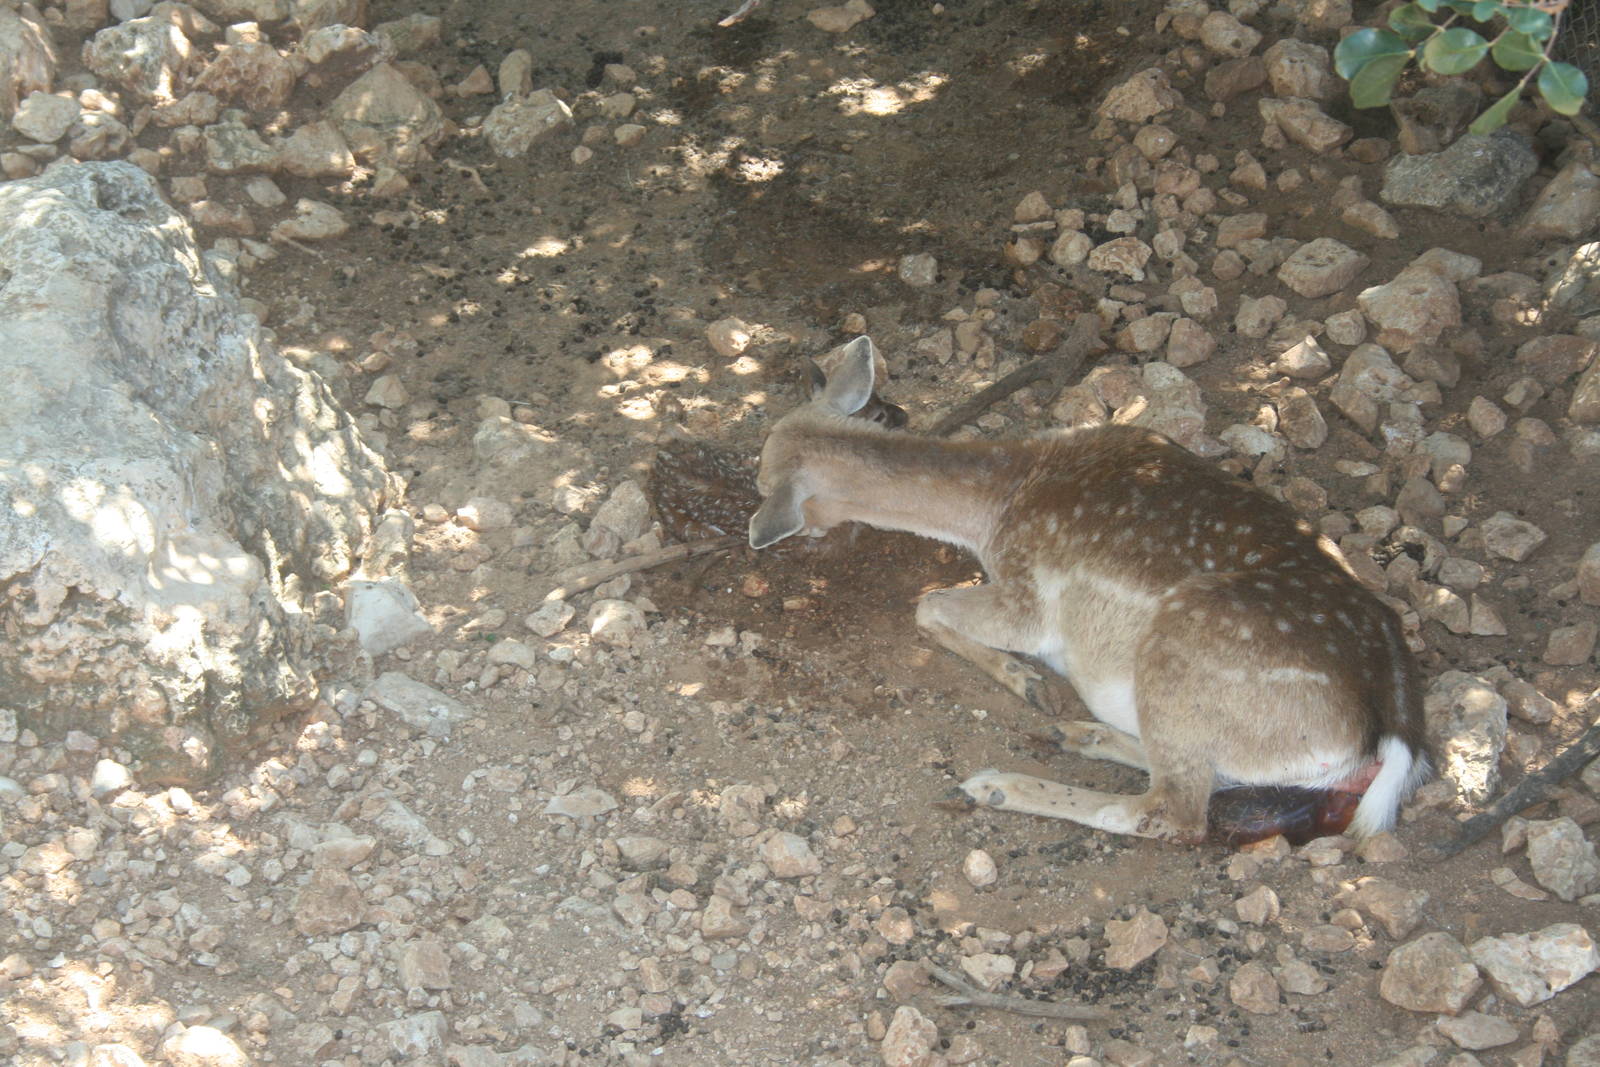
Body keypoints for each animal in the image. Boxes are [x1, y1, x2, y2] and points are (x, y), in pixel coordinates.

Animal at [747, 336, 1431, 844]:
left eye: (762, 482)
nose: (762, 522)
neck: (995, 509)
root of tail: (1393, 728)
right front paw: (1032, 687)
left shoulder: (1025, 597)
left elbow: (928, 603)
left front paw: (1025, 680)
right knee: (1212, 782)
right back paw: (1075, 733)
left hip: (1179, 659)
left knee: (1176, 813)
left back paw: (999, 783)